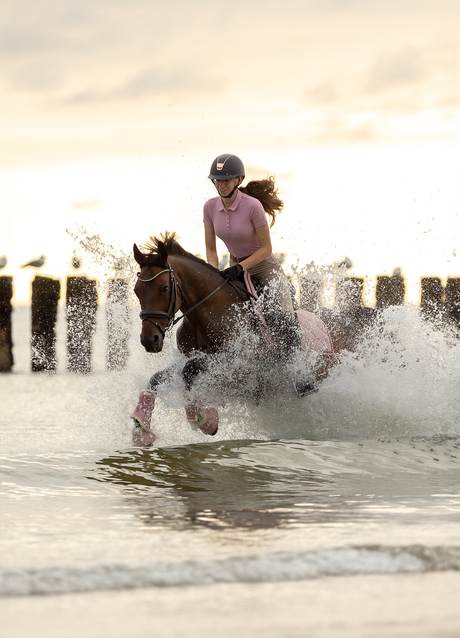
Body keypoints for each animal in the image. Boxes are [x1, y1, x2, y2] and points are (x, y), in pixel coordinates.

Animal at [130, 232, 334, 448]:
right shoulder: (188, 359)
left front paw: (205, 419)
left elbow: (189, 370)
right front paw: (141, 430)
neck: (208, 312)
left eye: (164, 288)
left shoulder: (241, 366)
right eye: (136, 291)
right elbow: (156, 379)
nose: (149, 340)